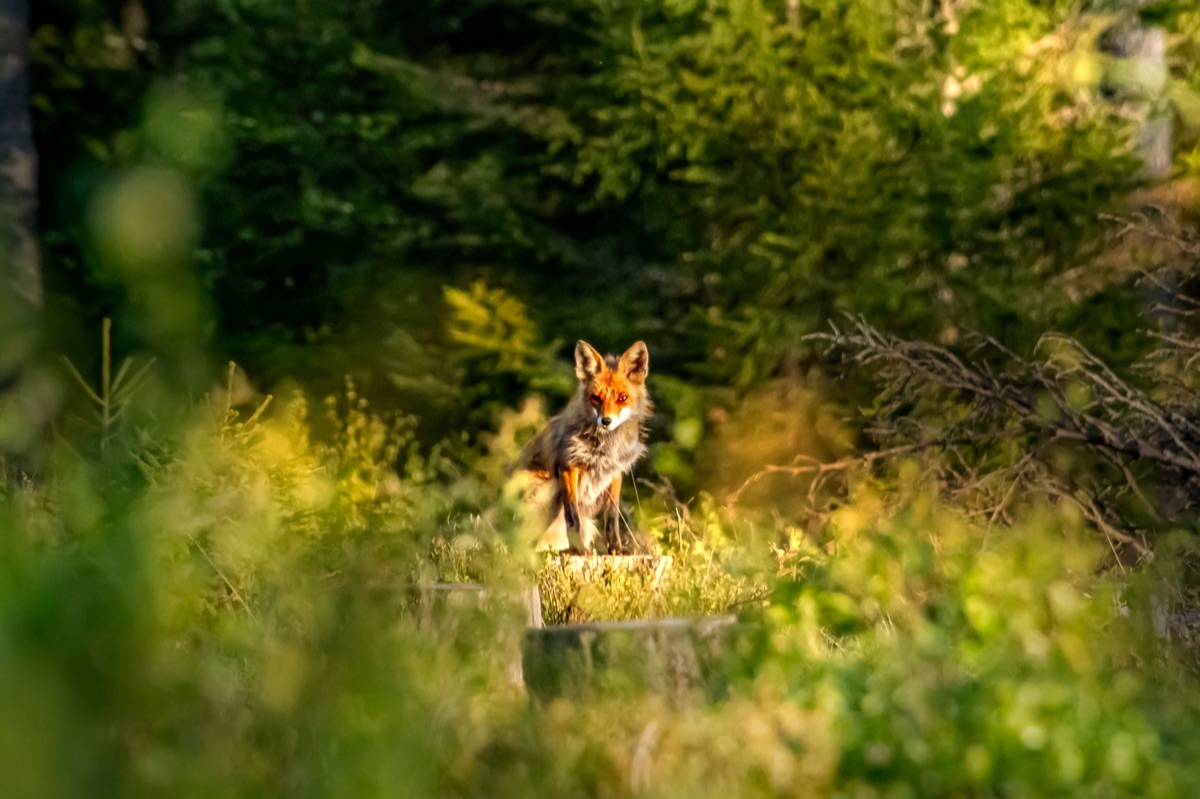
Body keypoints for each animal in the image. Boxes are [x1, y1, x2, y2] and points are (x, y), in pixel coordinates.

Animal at [517, 340, 652, 554]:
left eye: (622, 398)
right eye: (596, 398)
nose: (606, 421)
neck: (605, 448)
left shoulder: (614, 473)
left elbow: (612, 518)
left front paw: (616, 550)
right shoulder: (567, 466)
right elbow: (572, 518)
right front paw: (580, 550)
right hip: (548, 489)